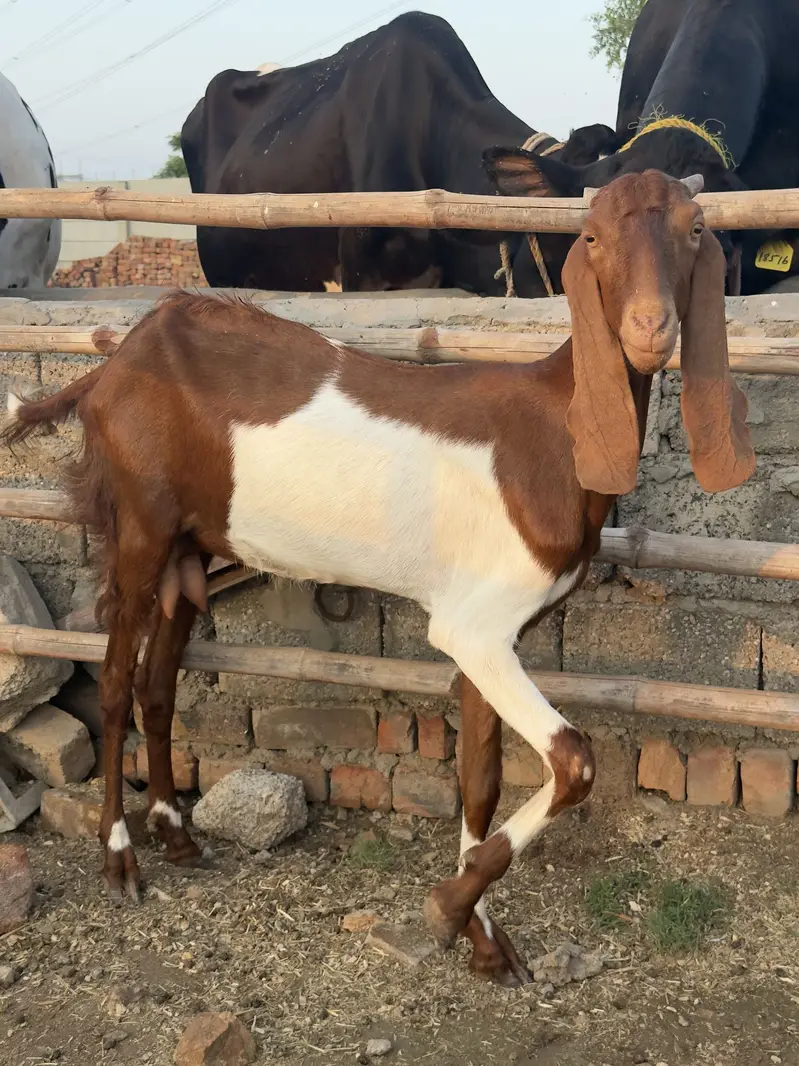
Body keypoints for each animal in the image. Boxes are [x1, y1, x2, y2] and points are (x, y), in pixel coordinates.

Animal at [2, 170, 755, 988]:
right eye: (590, 237)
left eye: (693, 229)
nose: (650, 330)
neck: (557, 423)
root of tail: (114, 364)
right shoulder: (473, 628)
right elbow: (573, 761)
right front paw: (447, 908)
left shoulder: (486, 630)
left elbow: (480, 781)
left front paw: (484, 944)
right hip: (141, 526)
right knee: (113, 684)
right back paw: (121, 859)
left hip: (188, 545)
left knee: (157, 685)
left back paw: (175, 834)